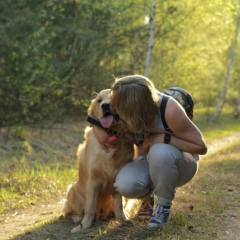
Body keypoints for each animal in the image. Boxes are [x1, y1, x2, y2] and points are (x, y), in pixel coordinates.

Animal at [63, 88, 135, 232]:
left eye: (113, 98)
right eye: (99, 101)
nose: (105, 106)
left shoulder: (116, 178)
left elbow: (119, 204)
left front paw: (122, 220)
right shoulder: (93, 180)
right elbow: (89, 208)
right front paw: (83, 226)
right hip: (72, 189)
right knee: (70, 210)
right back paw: (77, 217)